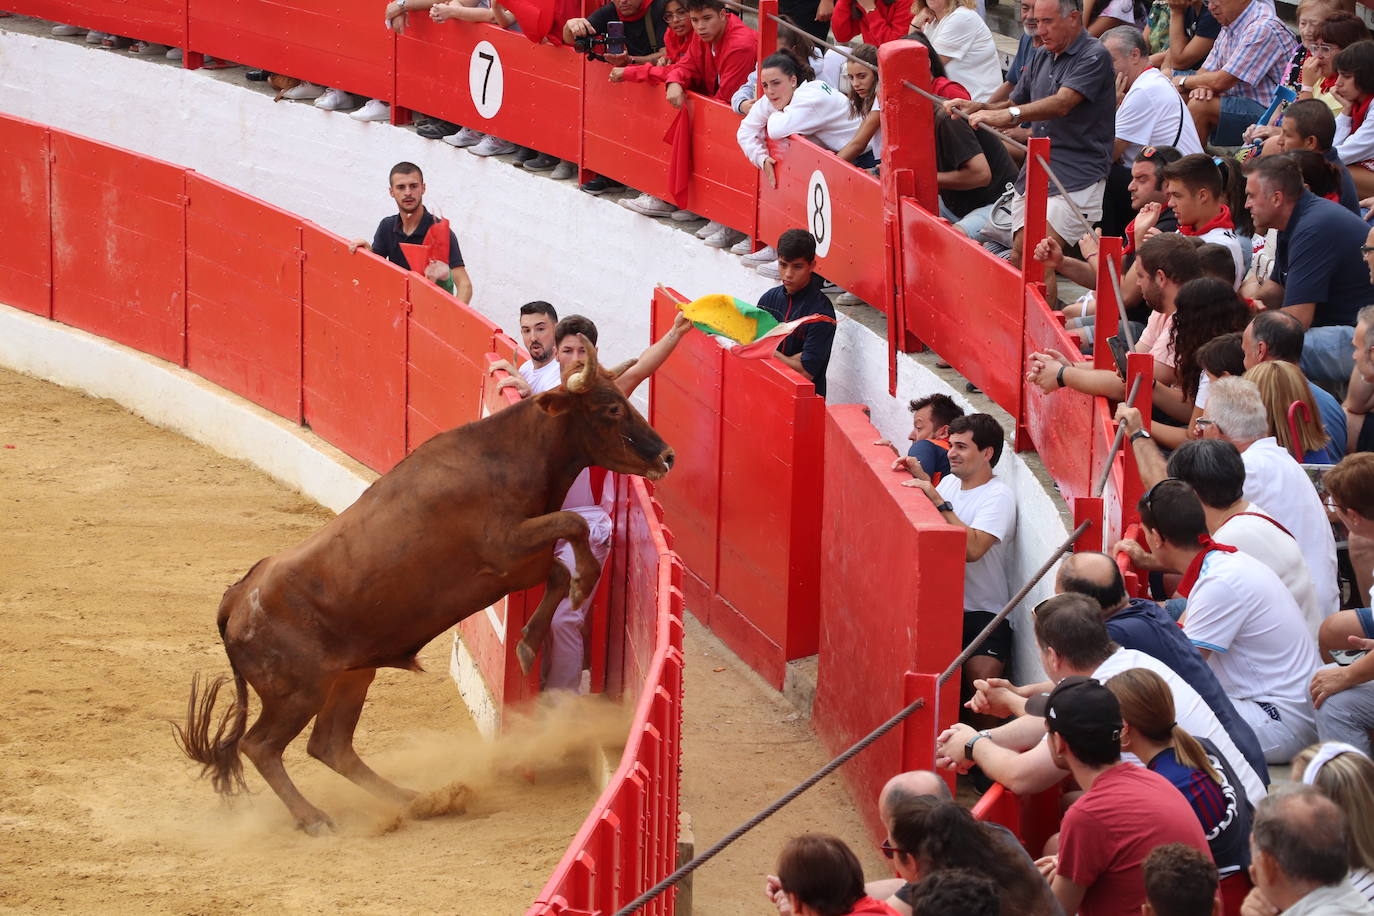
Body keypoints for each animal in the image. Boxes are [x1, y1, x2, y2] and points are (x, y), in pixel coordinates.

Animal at [171, 340, 676, 834]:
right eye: (611, 408)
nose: (667, 456)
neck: (507, 455)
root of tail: (237, 597)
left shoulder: (515, 565)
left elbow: (556, 566)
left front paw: (529, 644)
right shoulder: (506, 547)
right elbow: (573, 523)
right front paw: (580, 588)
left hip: (352, 675)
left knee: (330, 745)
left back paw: (414, 800)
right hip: (297, 693)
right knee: (261, 746)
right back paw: (314, 818)